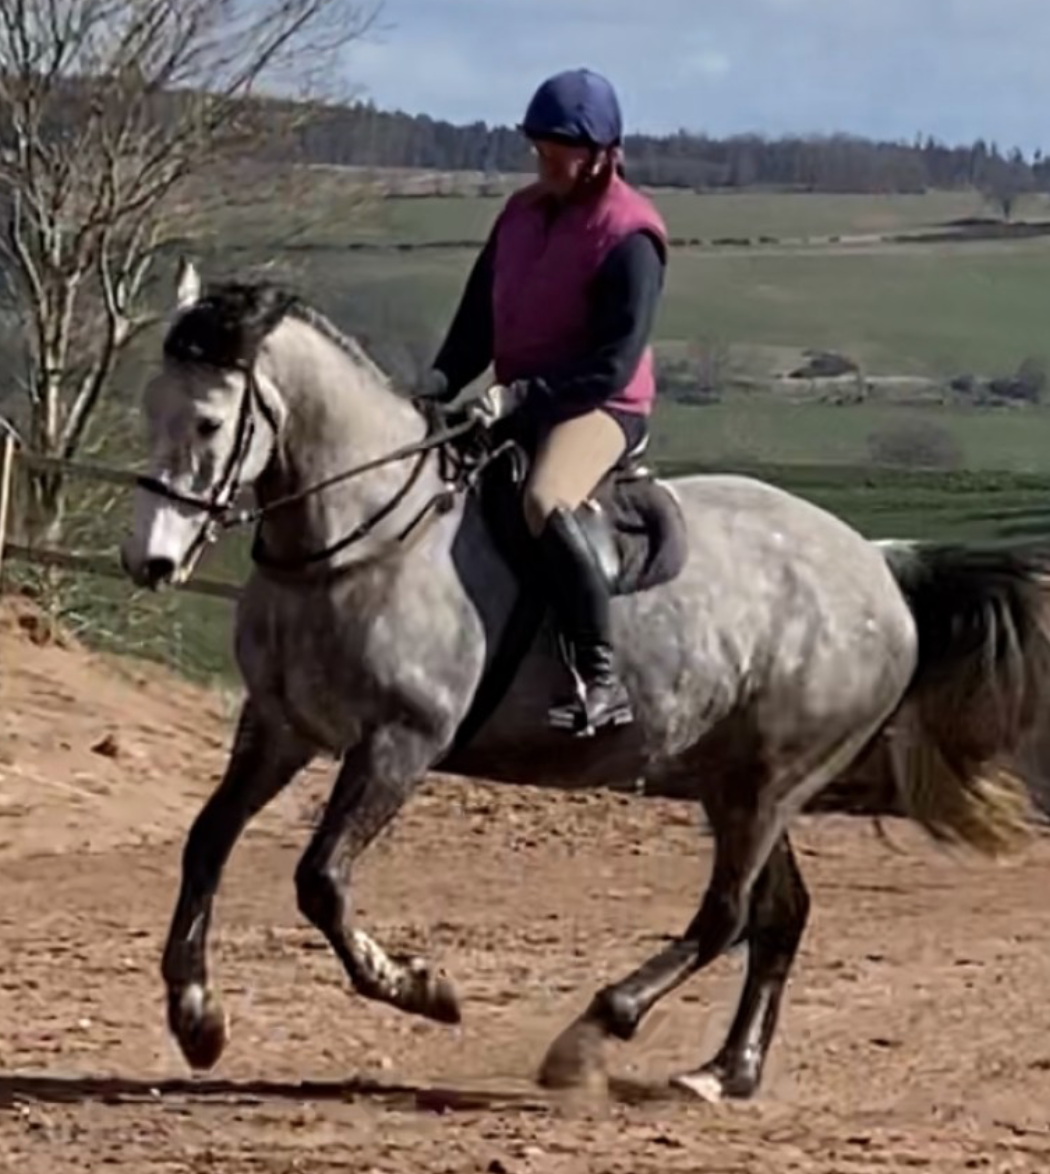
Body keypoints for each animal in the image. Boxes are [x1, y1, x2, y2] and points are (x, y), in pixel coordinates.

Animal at [119, 259, 1050, 1102]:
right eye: (148, 408)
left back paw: (597, 1030)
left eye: (208, 423)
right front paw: (196, 1018)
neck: (359, 541)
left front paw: (424, 990)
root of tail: (880, 567)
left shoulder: (399, 742)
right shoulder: (279, 726)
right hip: (739, 780)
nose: (149, 562)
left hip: (776, 780)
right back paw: (725, 1072)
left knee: (726, 916)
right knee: (778, 916)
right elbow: (206, 841)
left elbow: (320, 880)